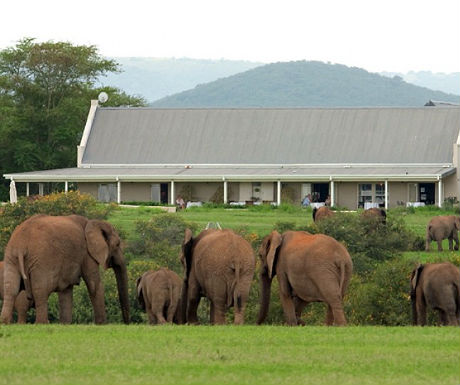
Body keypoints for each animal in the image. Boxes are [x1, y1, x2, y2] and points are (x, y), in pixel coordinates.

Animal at [0, 214, 130, 322]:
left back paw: (5, 322)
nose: (126, 323)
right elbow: (94, 285)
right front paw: (101, 325)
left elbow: (66, 292)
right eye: (118, 244)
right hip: (42, 260)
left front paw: (65, 324)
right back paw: (41, 323)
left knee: (11, 289)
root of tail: (21, 244)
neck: (93, 222)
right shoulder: (87, 253)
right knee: (40, 291)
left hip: (11, 257)